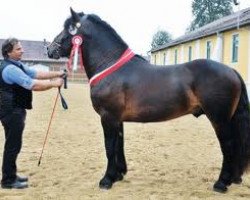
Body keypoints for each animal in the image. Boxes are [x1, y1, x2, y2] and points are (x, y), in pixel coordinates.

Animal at [47, 8, 250, 193]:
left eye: (68, 28)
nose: (49, 49)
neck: (110, 66)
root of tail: (231, 71)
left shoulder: (108, 117)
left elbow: (109, 147)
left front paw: (106, 180)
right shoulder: (117, 119)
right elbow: (119, 145)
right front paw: (118, 175)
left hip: (219, 119)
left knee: (229, 145)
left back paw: (221, 183)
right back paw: (233, 179)